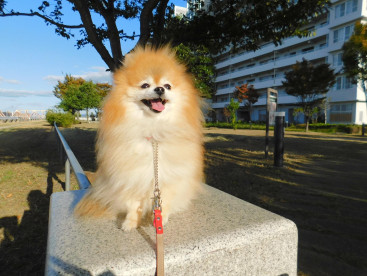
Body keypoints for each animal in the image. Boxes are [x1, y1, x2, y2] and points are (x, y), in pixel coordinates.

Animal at [74, 45, 204, 231]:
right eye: (145, 85)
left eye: (167, 86)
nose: (160, 89)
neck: (153, 133)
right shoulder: (131, 176)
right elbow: (132, 204)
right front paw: (130, 222)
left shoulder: (170, 177)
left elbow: (165, 199)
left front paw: (161, 219)